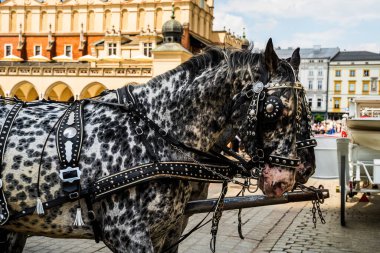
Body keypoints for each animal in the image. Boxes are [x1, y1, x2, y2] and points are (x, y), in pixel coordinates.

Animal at [0, 39, 316, 253]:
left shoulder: (170, 230)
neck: (154, 135)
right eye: (274, 110)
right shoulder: (128, 235)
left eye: (308, 110)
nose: (291, 176)